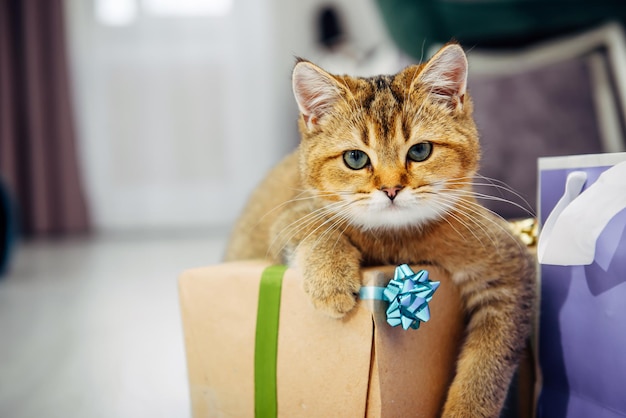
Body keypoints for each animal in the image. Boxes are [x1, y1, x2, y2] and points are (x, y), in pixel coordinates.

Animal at [224, 43, 532, 418]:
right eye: (355, 158)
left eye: (420, 150)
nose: (391, 189)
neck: (394, 238)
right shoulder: (291, 216)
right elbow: (317, 228)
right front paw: (331, 280)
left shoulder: (510, 270)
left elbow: (485, 366)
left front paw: (466, 409)